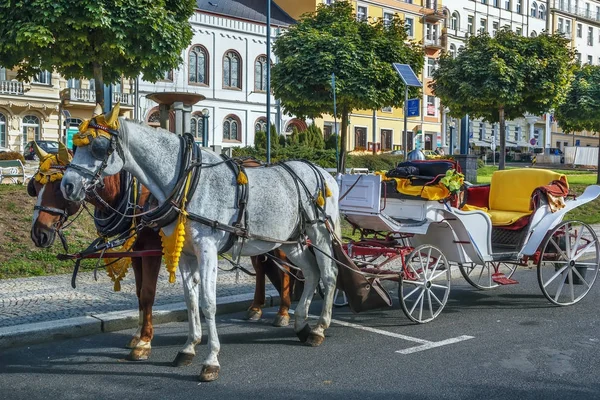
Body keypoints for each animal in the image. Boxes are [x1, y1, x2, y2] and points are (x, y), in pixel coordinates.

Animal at [62, 104, 342, 382]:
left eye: (98, 147)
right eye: (75, 145)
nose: (68, 185)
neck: (186, 180)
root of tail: (324, 173)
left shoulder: (207, 250)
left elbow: (208, 302)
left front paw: (211, 360)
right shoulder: (186, 254)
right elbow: (190, 300)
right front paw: (188, 347)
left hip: (318, 232)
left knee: (329, 274)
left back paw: (320, 327)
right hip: (290, 240)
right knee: (311, 272)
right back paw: (302, 324)